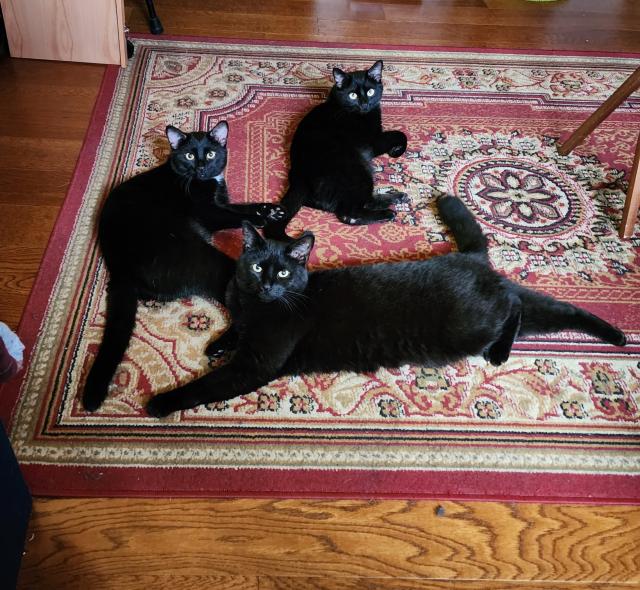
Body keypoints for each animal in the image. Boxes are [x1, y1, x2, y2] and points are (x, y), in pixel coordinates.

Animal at [82, 121, 284, 412]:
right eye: (189, 155)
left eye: (210, 154)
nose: (200, 167)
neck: (205, 181)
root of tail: (119, 271)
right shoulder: (210, 213)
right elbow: (236, 214)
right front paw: (262, 217)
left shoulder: (221, 202)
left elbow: (240, 206)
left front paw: (269, 209)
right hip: (211, 262)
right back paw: (219, 346)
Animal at [145, 197, 624, 418]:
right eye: (259, 265)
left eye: (282, 273)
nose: (267, 283)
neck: (253, 303)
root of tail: (470, 257)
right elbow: (233, 331)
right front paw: (217, 343)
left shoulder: (256, 363)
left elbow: (207, 384)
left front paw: (162, 402)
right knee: (544, 307)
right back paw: (616, 335)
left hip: (472, 323)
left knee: (514, 307)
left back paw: (502, 353)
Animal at [264, 57, 410, 238]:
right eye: (352, 95)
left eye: (370, 92)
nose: (364, 104)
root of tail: (298, 176)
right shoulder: (373, 141)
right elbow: (400, 134)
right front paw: (396, 150)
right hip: (358, 170)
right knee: (349, 213)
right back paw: (388, 212)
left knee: (358, 206)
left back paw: (396, 198)